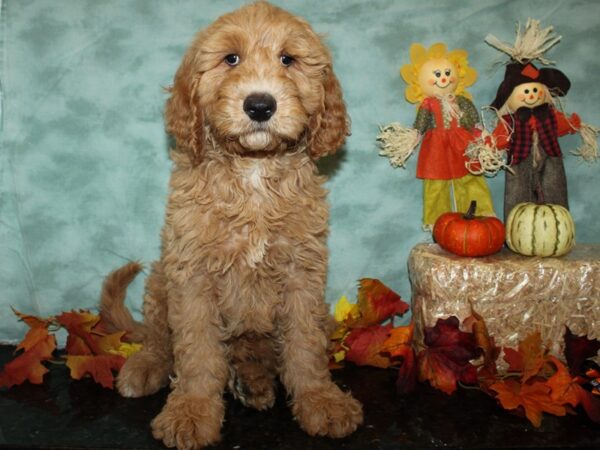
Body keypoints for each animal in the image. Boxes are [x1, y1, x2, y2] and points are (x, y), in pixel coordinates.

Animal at [99, 1, 360, 448]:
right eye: (231, 59)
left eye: (288, 60)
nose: (260, 105)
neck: (252, 172)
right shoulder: (192, 274)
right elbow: (198, 352)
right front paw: (191, 411)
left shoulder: (302, 275)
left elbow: (305, 348)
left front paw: (320, 400)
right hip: (159, 280)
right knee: (158, 337)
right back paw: (147, 366)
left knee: (258, 352)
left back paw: (253, 381)